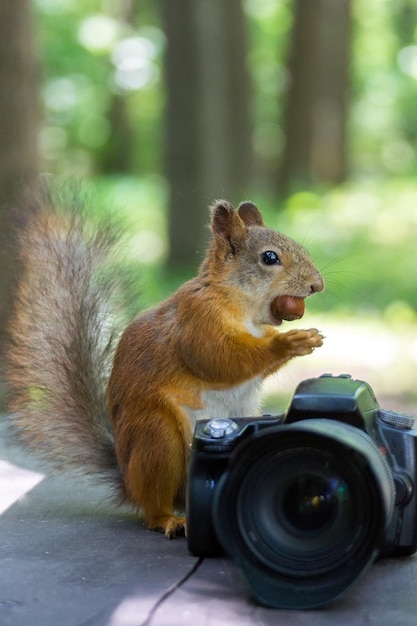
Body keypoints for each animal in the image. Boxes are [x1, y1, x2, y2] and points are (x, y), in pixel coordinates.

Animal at [4, 188, 324, 540]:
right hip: (157, 438)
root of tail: (128, 484)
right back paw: (169, 520)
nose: (317, 285)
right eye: (269, 258)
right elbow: (220, 359)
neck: (245, 308)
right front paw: (289, 342)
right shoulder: (198, 321)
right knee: (154, 503)